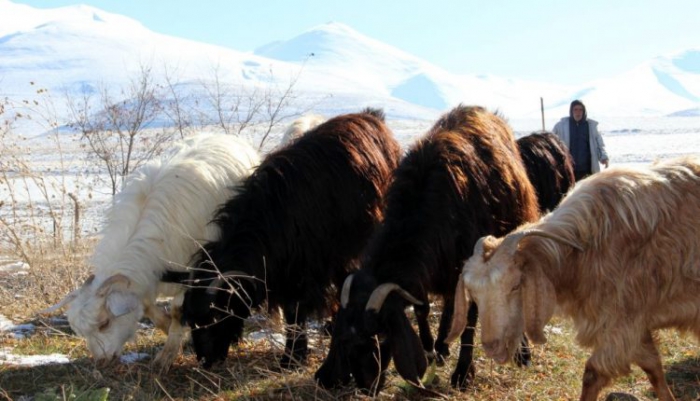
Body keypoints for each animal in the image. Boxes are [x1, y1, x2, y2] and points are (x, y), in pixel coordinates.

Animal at [41, 133, 260, 370]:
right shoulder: (148, 279)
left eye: (105, 323)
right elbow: (147, 306)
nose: (102, 362)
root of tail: (219, 135)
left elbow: (178, 311)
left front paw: (167, 355)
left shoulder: (192, 270)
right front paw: (170, 330)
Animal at [316, 104, 540, 392]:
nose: (323, 378)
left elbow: (469, 321)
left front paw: (463, 374)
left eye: (375, 335)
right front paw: (430, 348)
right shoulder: (429, 270)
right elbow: (423, 307)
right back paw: (442, 345)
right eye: (338, 331)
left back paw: (522, 354)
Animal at [446, 156, 700, 400]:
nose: (491, 346)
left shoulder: (623, 323)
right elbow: (653, 368)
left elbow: (592, 374)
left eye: (516, 285)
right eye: (474, 295)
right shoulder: (632, 327)